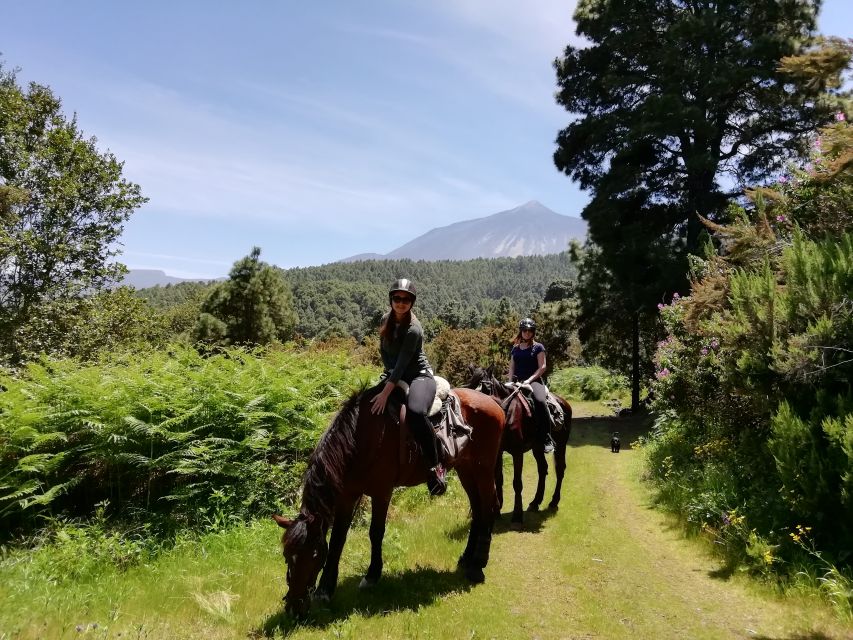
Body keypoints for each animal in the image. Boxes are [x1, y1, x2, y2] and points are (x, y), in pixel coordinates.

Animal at [272, 382, 506, 616]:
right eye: (287, 555)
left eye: (312, 556)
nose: (294, 608)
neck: (361, 438)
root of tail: (492, 401)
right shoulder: (347, 495)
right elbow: (338, 538)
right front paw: (325, 590)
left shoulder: (382, 492)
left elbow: (376, 532)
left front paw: (372, 575)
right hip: (465, 468)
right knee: (477, 509)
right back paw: (467, 558)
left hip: (483, 469)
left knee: (489, 506)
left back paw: (477, 566)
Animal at [466, 364, 572, 524]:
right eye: (469, 388)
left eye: (486, 389)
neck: (506, 414)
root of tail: (564, 402)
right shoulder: (498, 451)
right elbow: (498, 478)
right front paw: (497, 510)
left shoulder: (517, 452)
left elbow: (517, 483)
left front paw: (517, 514)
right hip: (537, 447)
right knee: (543, 469)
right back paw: (535, 502)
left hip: (561, 444)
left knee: (560, 469)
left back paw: (553, 501)